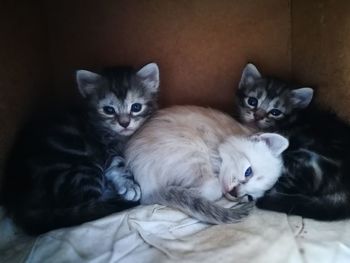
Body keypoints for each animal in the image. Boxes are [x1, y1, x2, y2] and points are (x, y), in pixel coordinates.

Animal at [1, 62, 160, 235]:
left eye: (136, 107)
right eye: (108, 110)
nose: (124, 123)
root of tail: (18, 200)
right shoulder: (104, 149)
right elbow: (118, 162)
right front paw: (129, 184)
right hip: (82, 168)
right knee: (92, 204)